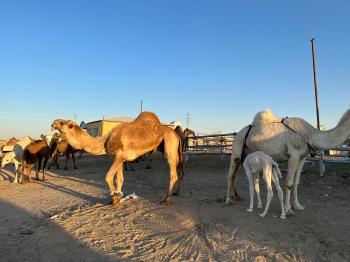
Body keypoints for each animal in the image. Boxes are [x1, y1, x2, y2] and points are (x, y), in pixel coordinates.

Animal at [52, 111, 185, 206]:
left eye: (64, 124)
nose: (54, 122)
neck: (105, 141)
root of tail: (176, 134)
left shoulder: (119, 155)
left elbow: (108, 176)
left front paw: (115, 196)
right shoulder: (119, 158)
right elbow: (119, 179)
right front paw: (117, 198)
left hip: (169, 146)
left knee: (173, 174)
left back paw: (166, 200)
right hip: (171, 149)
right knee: (180, 170)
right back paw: (177, 192)